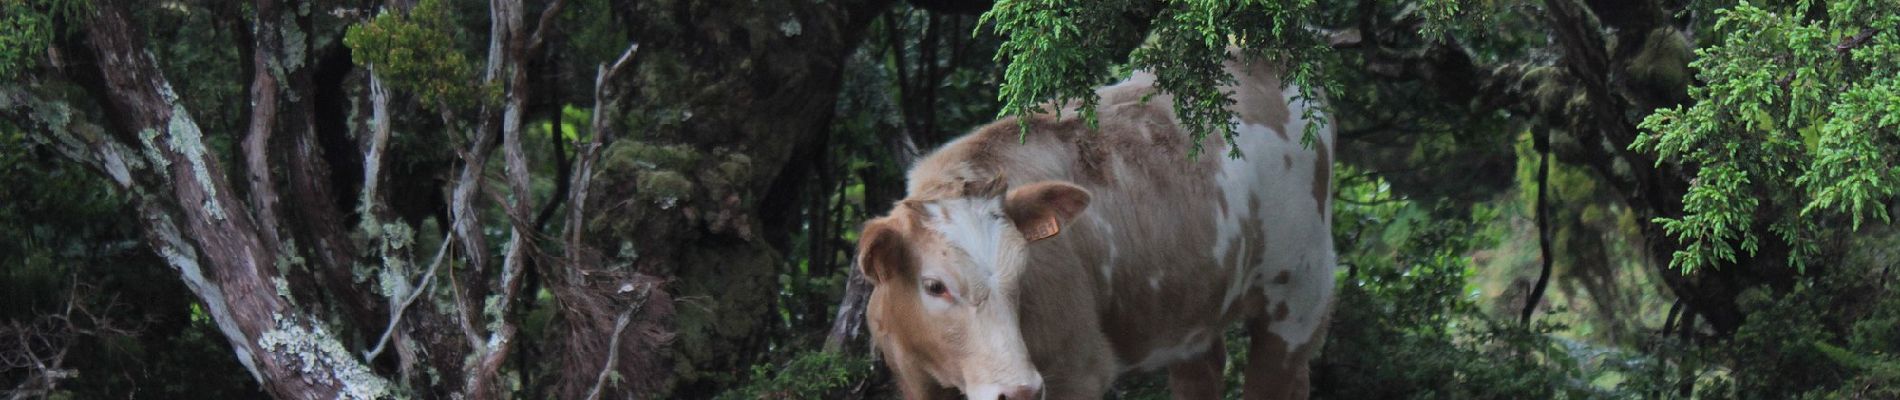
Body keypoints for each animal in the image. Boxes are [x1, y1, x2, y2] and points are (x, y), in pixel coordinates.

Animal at [862, 55, 1337, 400]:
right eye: (934, 286)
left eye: (1022, 276)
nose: (1019, 391)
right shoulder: (913, 379)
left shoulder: (1076, 371)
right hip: (1195, 313)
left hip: (1299, 297)